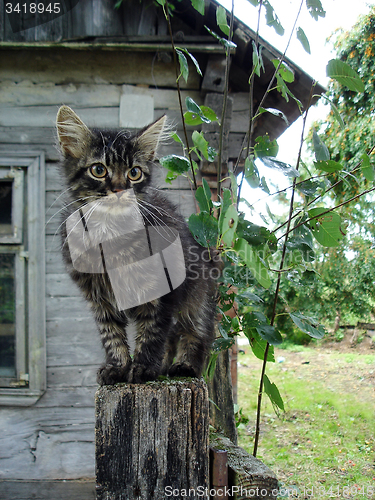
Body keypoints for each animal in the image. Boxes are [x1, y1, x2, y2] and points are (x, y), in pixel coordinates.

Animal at [56, 105, 220, 384]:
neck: (109, 233)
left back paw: (184, 366)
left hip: (198, 296)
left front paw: (143, 368)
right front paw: (118, 367)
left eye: (134, 173)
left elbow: (152, 330)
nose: (120, 189)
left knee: (195, 331)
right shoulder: (99, 297)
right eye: (98, 170)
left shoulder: (165, 288)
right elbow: (111, 334)